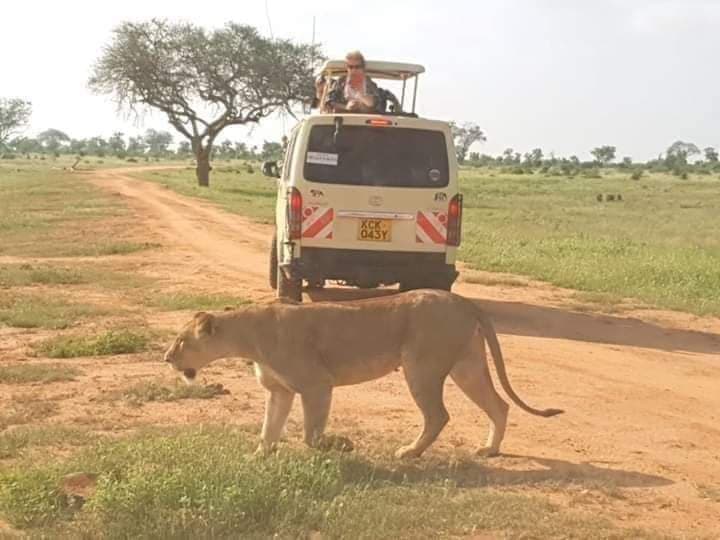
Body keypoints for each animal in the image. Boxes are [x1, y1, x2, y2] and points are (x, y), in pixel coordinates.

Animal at [164, 289, 562, 458]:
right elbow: (268, 429)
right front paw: (257, 458)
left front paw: (341, 445)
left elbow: (310, 435)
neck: (247, 336)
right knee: (499, 405)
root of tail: (464, 300)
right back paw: (490, 449)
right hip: (467, 367)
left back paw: (410, 452)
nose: (166, 357)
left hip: (421, 366)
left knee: (438, 415)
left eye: (181, 340)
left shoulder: (316, 385)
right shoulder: (280, 391)